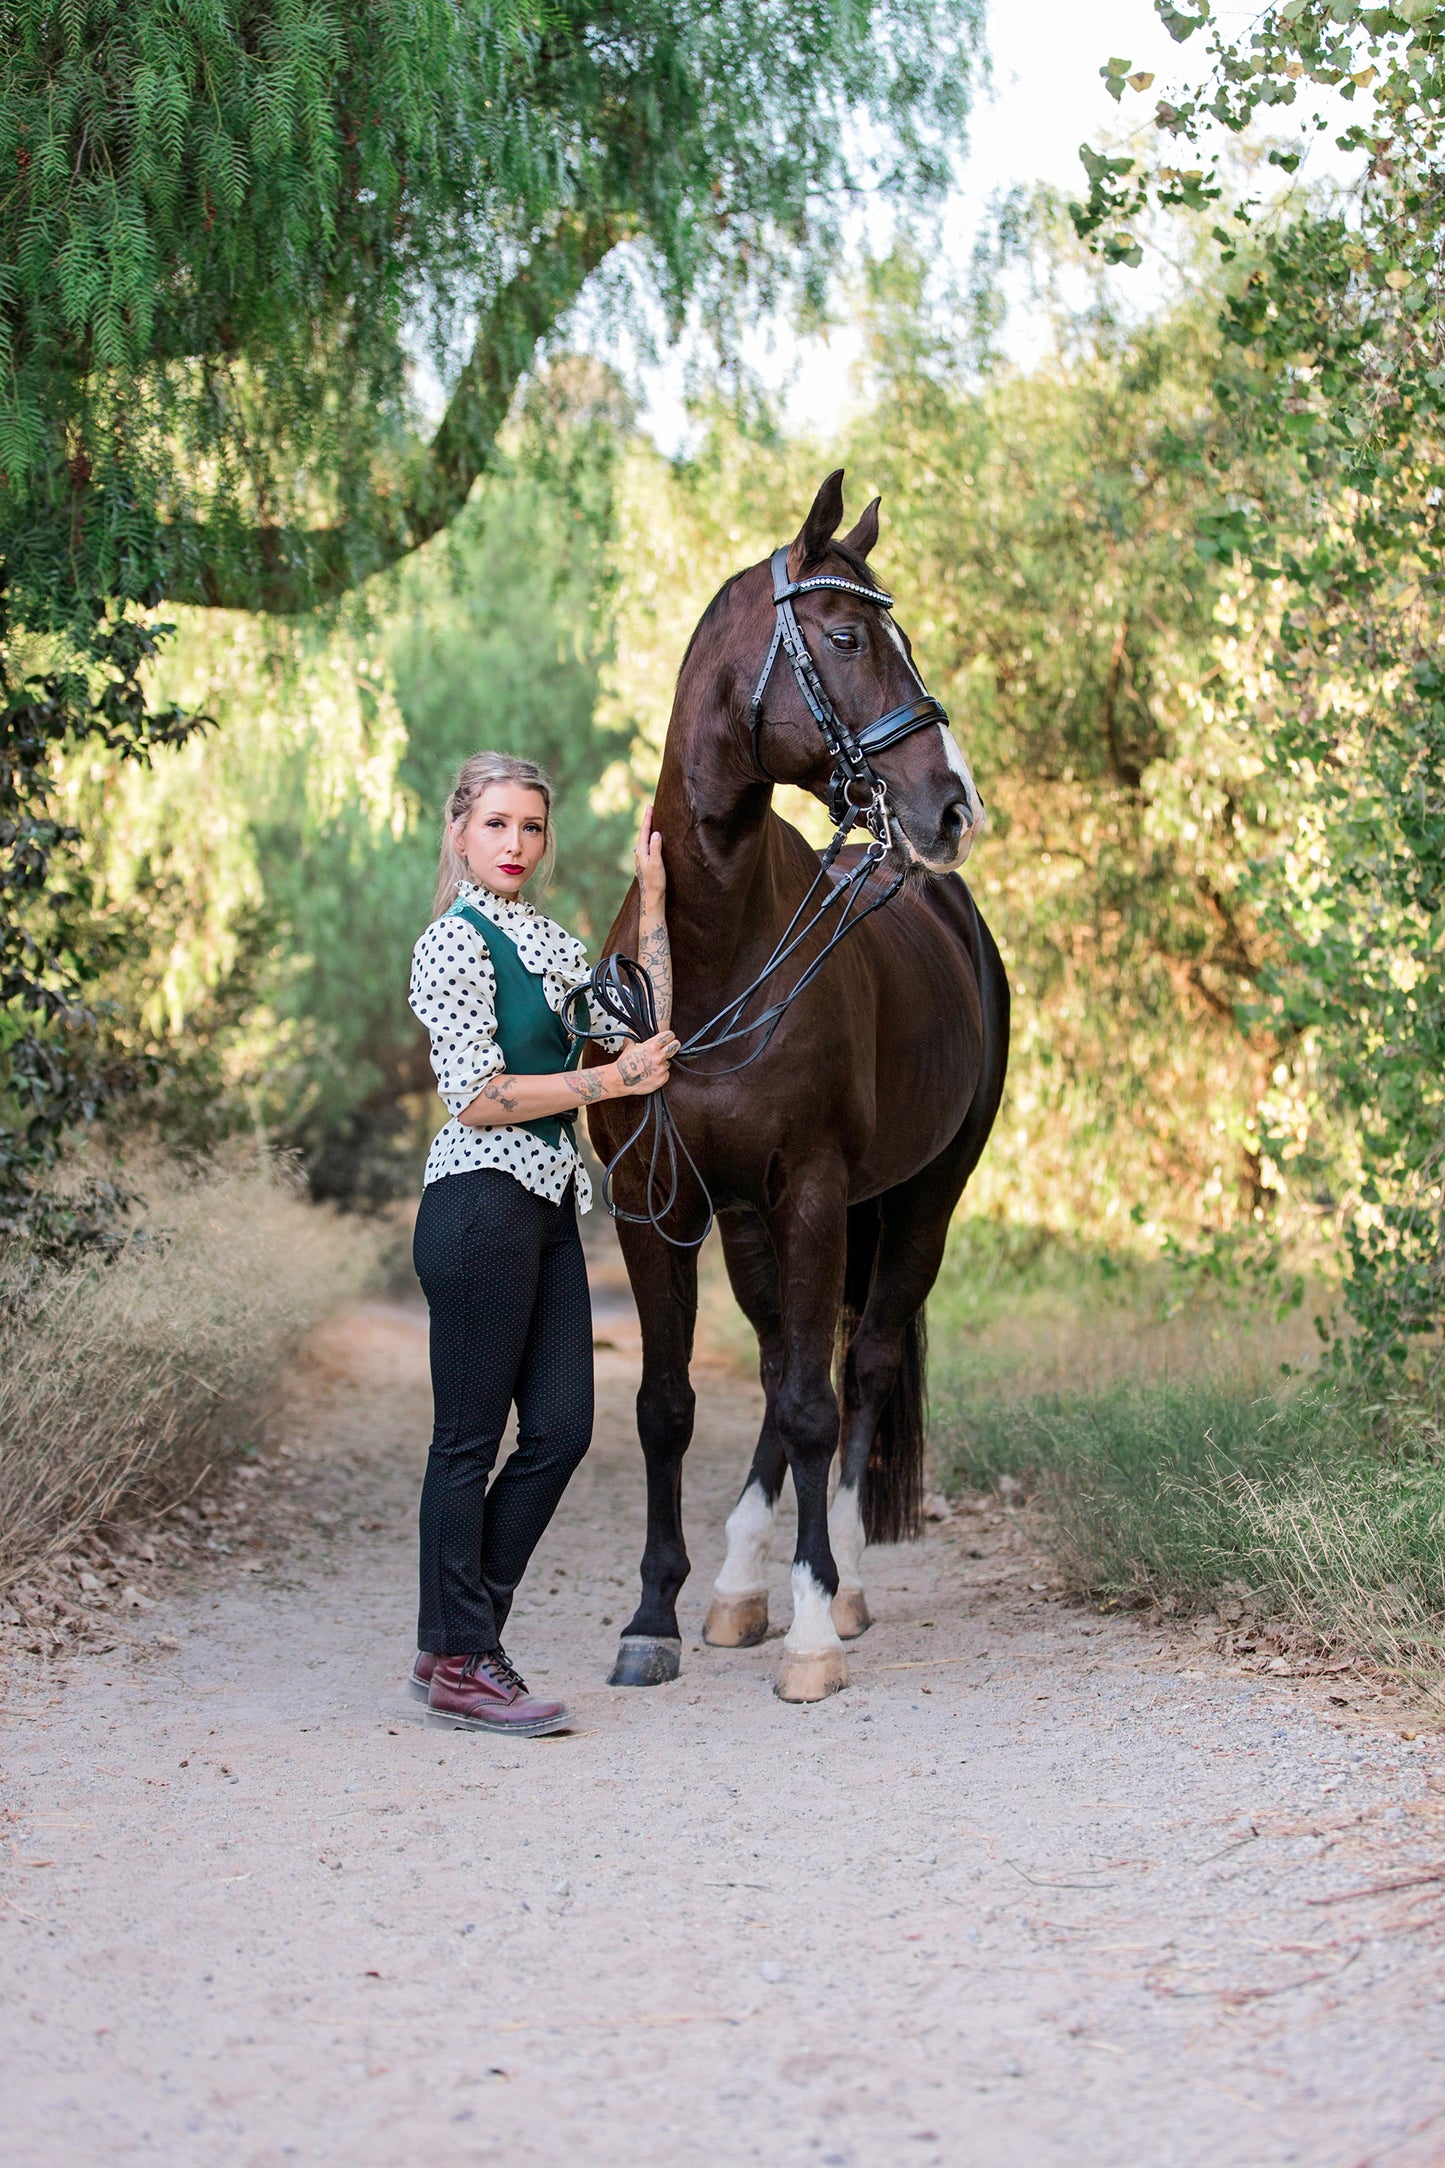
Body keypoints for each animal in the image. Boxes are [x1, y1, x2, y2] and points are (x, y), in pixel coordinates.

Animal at [584, 479, 1005, 1708]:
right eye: (849, 637)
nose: (952, 807)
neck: (717, 948)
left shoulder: (814, 1189)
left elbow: (820, 1404)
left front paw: (814, 1628)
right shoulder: (661, 1208)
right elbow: (668, 1406)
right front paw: (656, 1614)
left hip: (920, 1201)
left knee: (854, 1370)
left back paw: (844, 1580)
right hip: (751, 1224)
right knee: (780, 1368)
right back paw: (736, 1585)